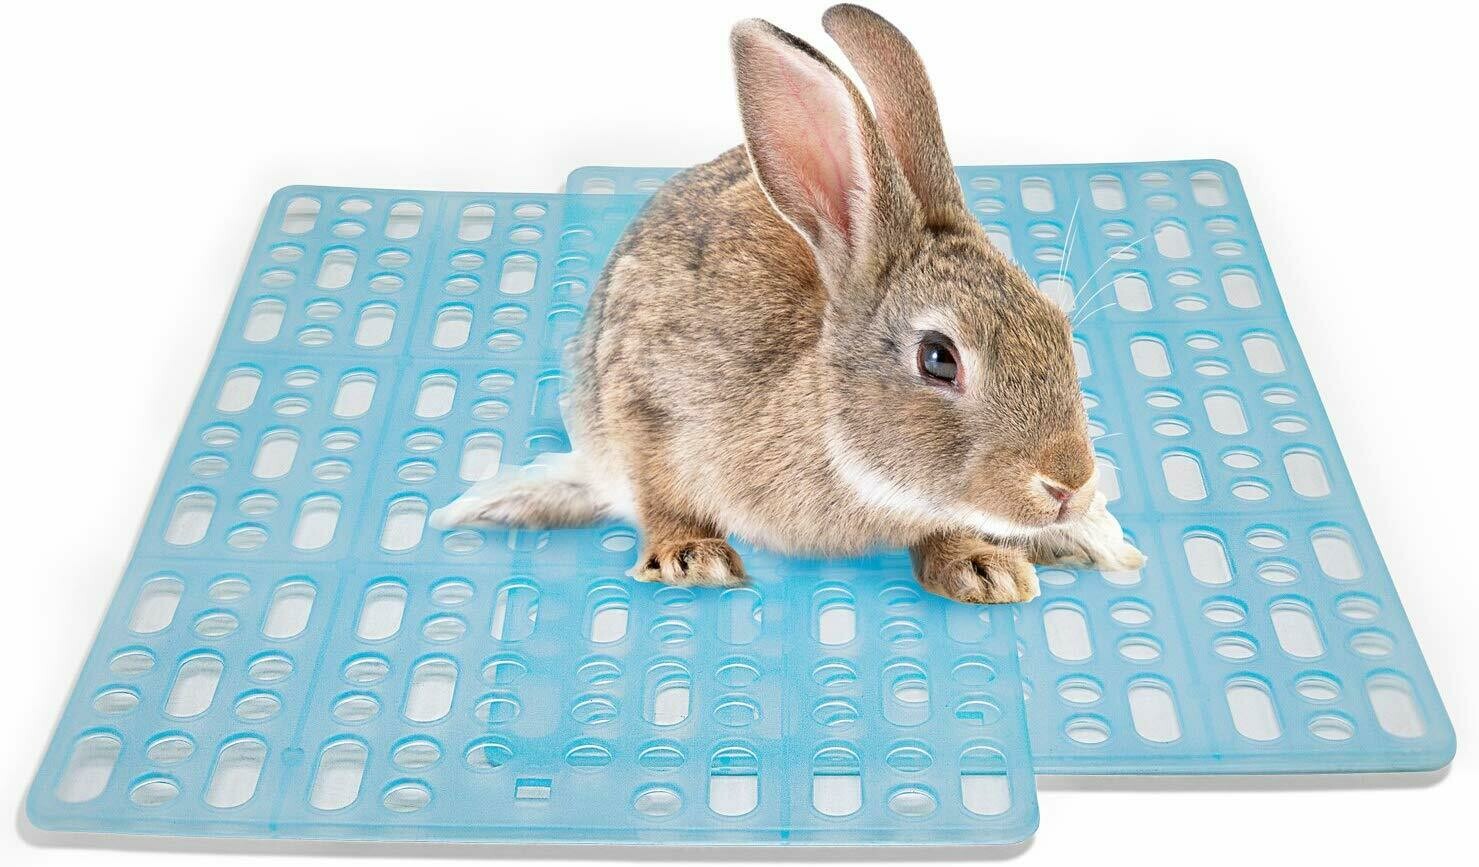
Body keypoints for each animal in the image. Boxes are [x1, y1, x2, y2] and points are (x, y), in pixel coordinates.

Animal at [432, 4, 1145, 604]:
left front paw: (983, 568)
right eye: (939, 358)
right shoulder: (642, 400)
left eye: (1058, 327)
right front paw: (691, 558)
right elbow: (661, 493)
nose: (1070, 485)